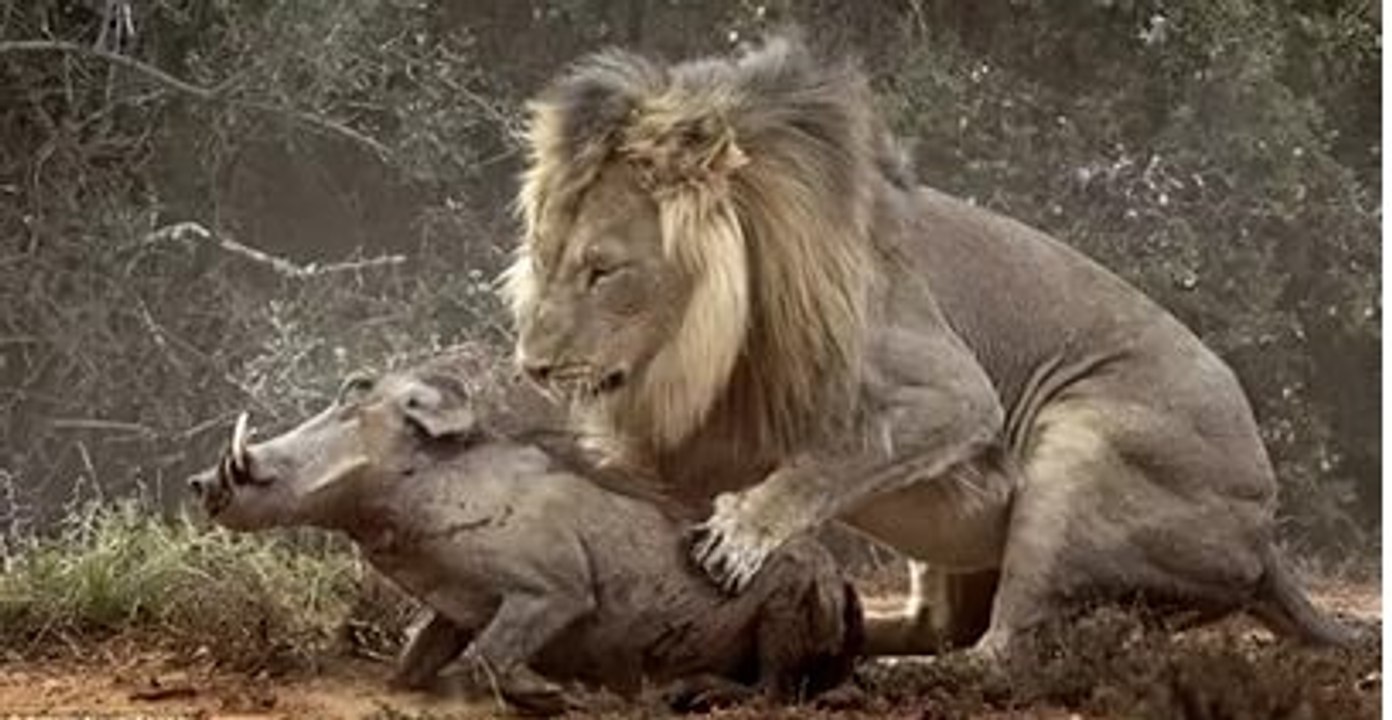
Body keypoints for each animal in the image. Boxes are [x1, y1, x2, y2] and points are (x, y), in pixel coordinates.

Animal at [500, 35, 1354, 659]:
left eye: (603, 270)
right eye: (542, 259)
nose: (530, 368)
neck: (705, 344)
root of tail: (1266, 538)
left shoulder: (953, 393)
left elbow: (833, 458)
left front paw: (742, 534)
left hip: (1086, 444)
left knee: (1003, 651)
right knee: (939, 628)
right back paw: (856, 640)